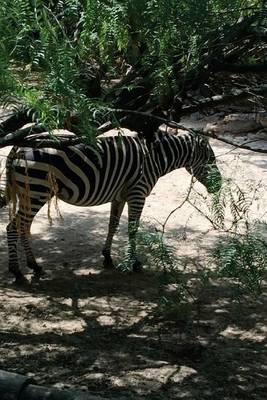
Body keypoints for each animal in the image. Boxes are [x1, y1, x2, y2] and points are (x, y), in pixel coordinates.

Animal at [0, 130, 222, 282]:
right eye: (211, 159)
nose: (219, 186)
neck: (155, 158)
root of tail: (18, 147)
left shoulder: (120, 196)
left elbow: (112, 225)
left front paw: (107, 256)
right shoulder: (137, 193)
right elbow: (132, 228)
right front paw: (134, 262)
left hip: (28, 194)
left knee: (23, 227)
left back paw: (34, 266)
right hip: (37, 191)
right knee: (14, 227)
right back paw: (17, 271)